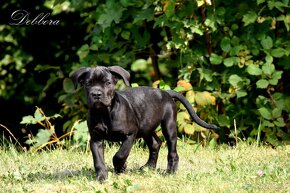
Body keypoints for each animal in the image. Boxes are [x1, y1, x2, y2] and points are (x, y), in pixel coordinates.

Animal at [71, 66, 218, 181]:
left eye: (107, 83)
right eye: (88, 83)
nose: (96, 94)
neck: (104, 113)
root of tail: (165, 92)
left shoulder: (130, 134)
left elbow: (120, 154)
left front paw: (120, 167)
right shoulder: (96, 139)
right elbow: (98, 160)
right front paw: (102, 177)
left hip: (168, 126)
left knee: (172, 151)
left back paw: (170, 171)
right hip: (146, 127)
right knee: (155, 144)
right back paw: (149, 167)